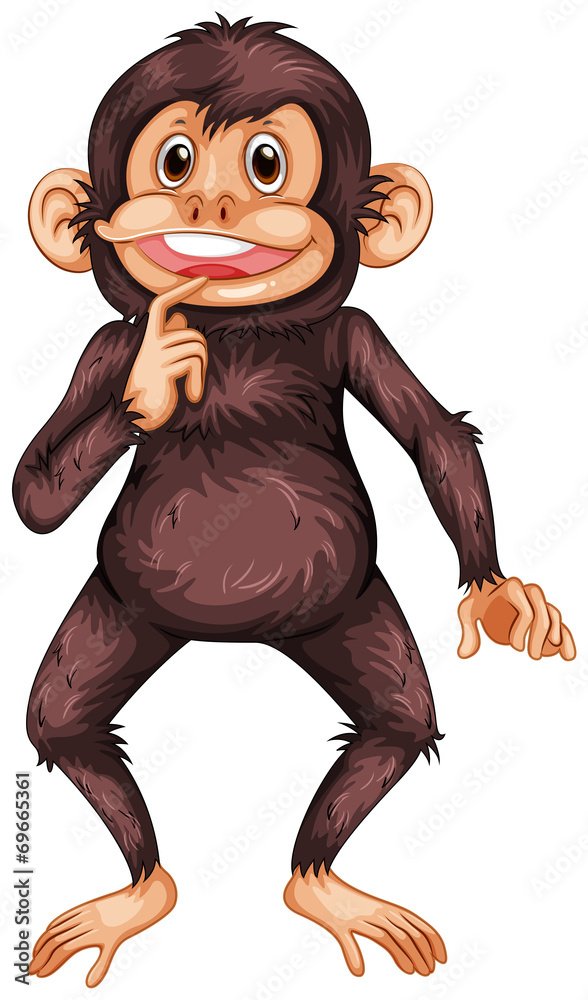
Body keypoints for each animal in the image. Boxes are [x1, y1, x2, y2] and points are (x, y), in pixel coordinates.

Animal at [14, 16, 575, 988]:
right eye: (174, 160)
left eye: (267, 162)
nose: (210, 205)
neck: (237, 327)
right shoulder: (99, 350)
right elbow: (34, 492)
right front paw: (156, 376)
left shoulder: (356, 332)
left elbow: (432, 437)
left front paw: (501, 598)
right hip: (124, 612)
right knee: (62, 720)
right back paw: (143, 892)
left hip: (347, 613)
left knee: (398, 721)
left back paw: (318, 883)